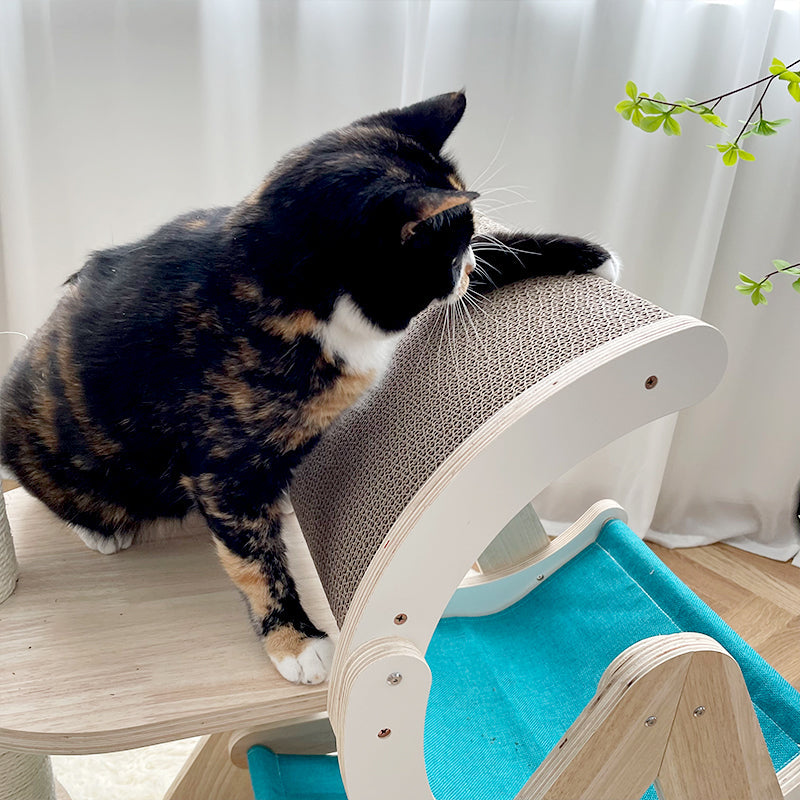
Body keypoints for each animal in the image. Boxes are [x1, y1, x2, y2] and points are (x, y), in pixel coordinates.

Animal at [0, 92, 620, 680]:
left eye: (467, 238)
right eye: (447, 250)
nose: (463, 267)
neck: (277, 280)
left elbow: (499, 254)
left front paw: (587, 253)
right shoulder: (228, 469)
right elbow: (255, 559)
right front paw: (295, 640)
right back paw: (100, 531)